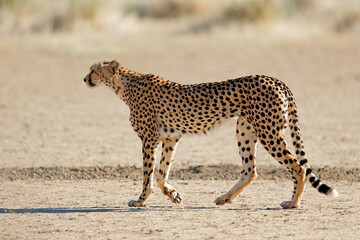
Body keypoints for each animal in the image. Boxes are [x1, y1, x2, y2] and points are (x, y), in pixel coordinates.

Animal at [83, 60, 338, 208]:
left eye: (93, 70)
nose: (85, 79)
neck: (124, 85)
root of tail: (275, 79)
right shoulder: (171, 137)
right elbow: (161, 173)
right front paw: (173, 194)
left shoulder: (149, 139)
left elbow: (148, 174)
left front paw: (140, 200)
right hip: (245, 129)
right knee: (250, 170)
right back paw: (225, 198)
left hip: (269, 132)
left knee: (298, 167)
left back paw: (293, 203)